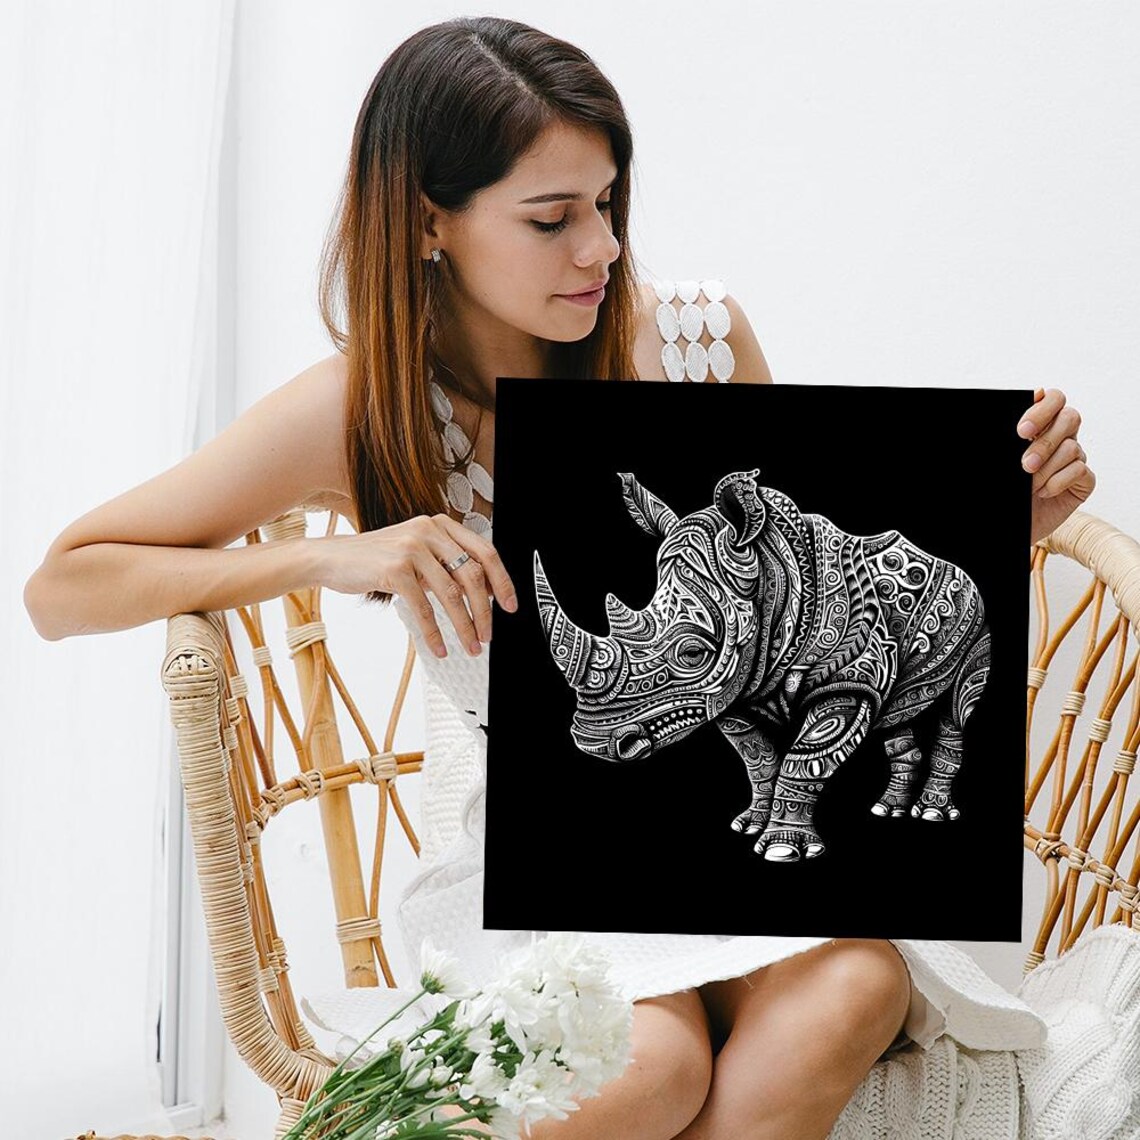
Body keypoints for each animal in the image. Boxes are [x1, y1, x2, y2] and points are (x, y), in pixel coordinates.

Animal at [532, 469, 990, 862]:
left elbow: (807, 756)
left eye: (693, 654)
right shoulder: (738, 688)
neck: (773, 571)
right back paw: (887, 810)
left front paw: (783, 850)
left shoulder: (849, 678)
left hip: (979, 623)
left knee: (957, 707)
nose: (592, 742)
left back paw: (931, 814)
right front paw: (750, 825)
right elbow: (758, 758)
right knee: (896, 714)